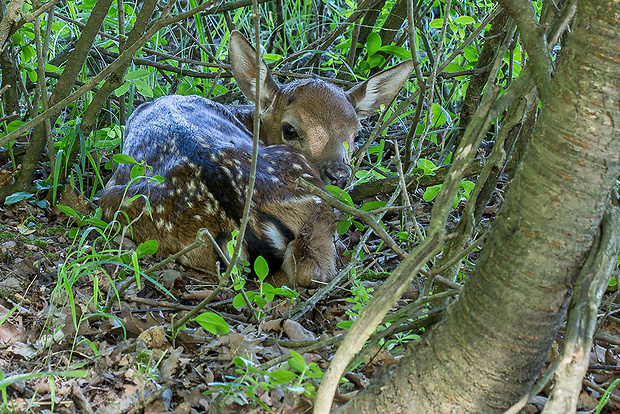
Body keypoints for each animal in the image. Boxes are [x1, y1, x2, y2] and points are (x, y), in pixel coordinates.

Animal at [100, 31, 412, 288]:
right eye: (289, 129)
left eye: (357, 133)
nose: (339, 174)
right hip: (311, 194)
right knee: (309, 270)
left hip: (117, 201)